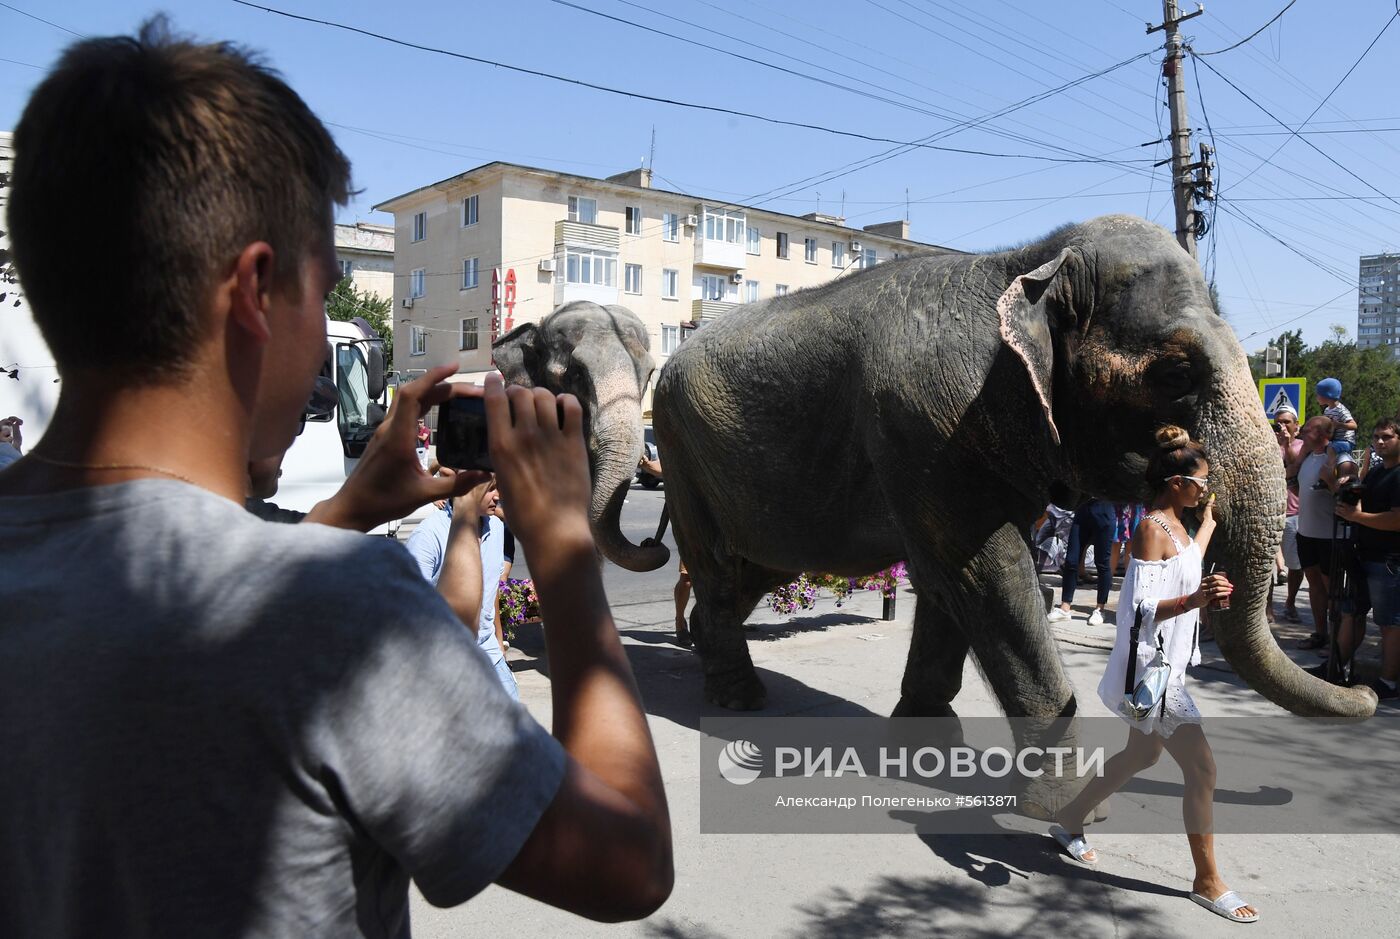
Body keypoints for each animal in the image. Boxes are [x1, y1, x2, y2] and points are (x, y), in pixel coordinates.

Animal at [495, 212, 1377, 744]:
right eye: (1174, 371)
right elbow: (983, 564)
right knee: (718, 571)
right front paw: (1059, 791)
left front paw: (922, 734)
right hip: (684, 454)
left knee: (751, 571)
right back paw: (736, 699)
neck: (1030, 264)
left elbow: (957, 575)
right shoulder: (926, 423)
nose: (1369, 699)